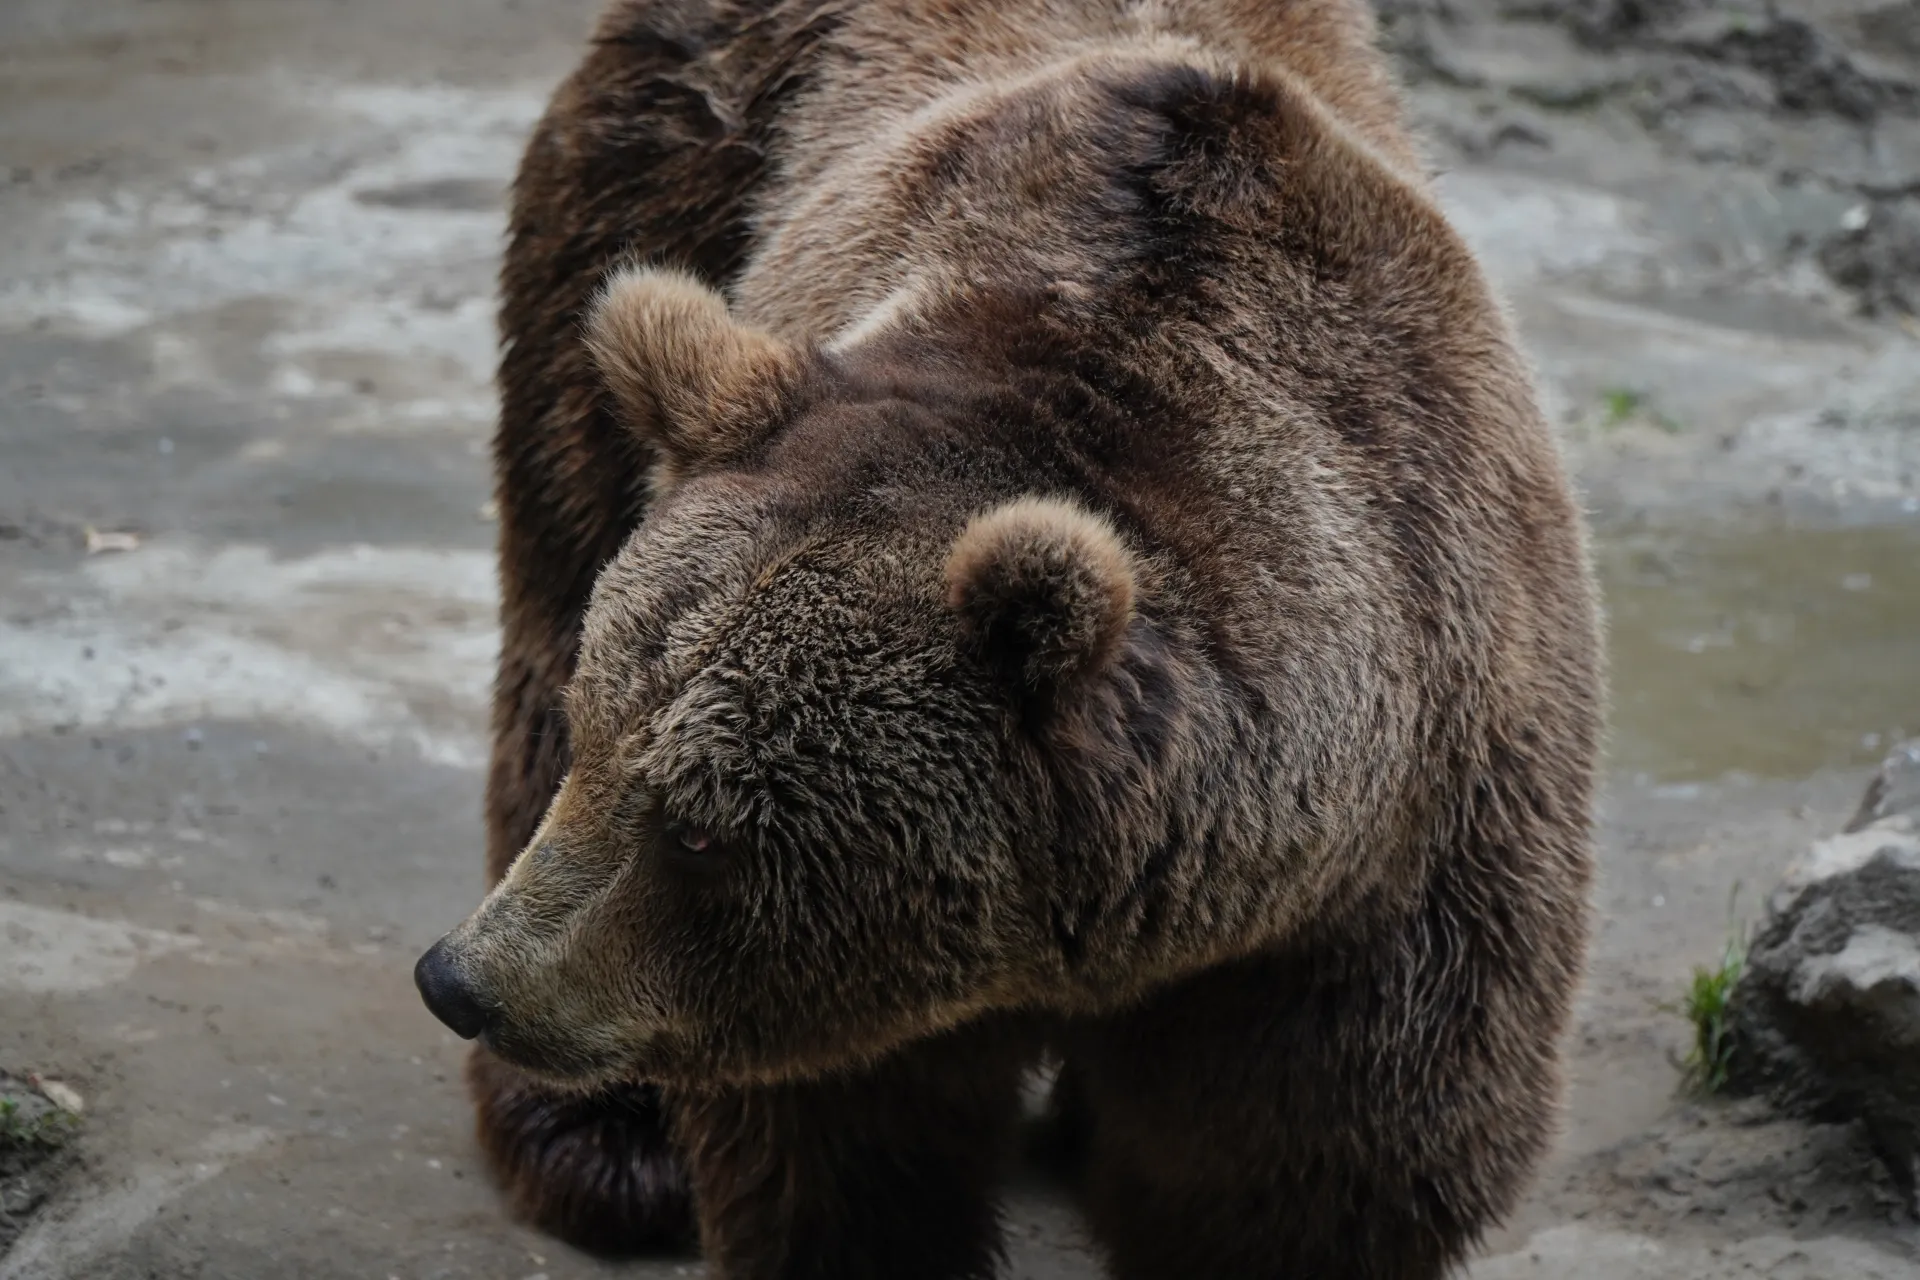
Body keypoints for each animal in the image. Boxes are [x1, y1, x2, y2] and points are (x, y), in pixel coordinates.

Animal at [414, 0, 1604, 1276]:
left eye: (699, 826)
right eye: (604, 740)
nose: (464, 980)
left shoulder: (1388, 891)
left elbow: (1309, 1170)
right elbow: (842, 1162)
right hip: (660, 197)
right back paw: (607, 1150)